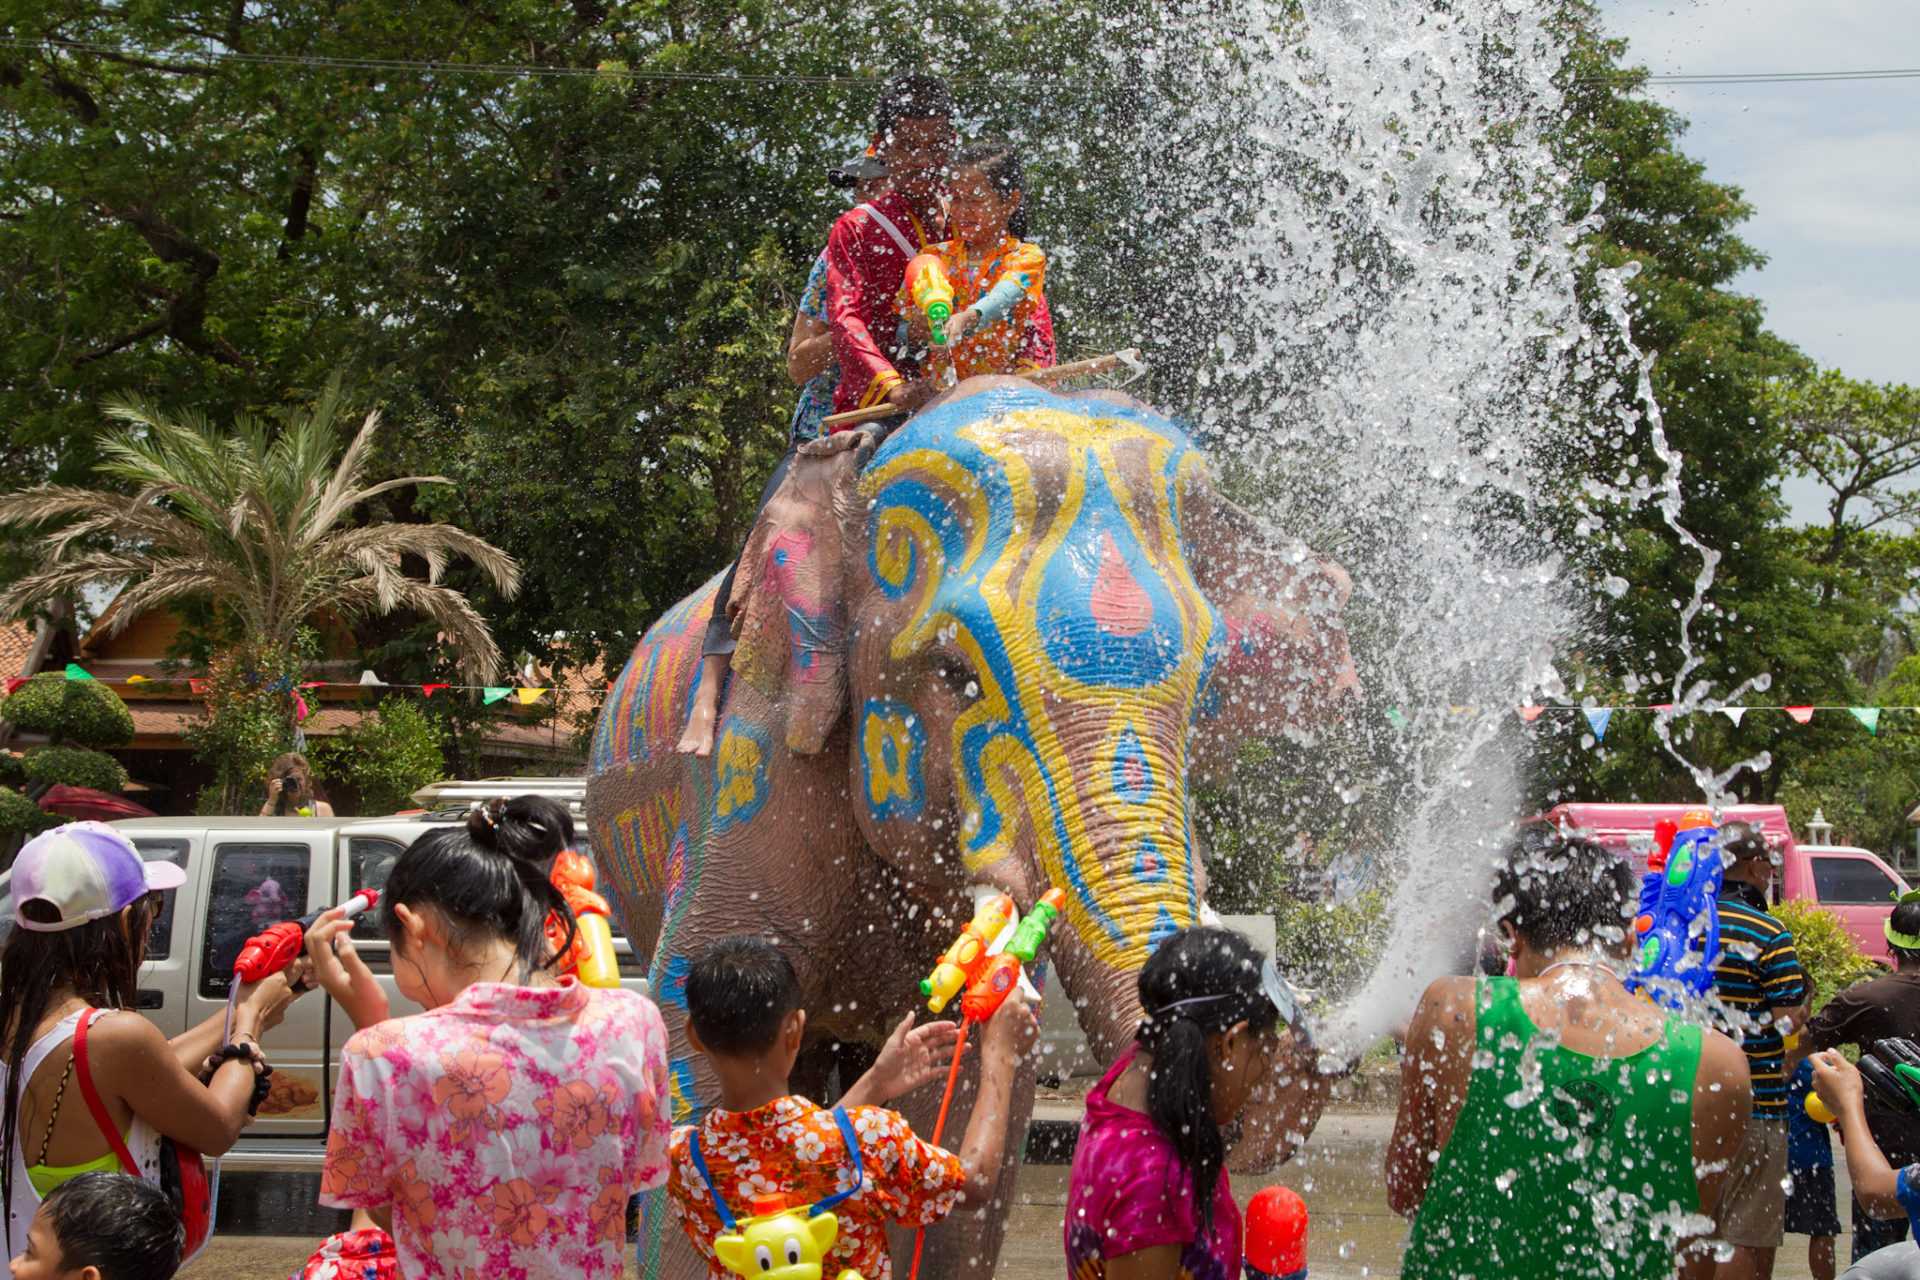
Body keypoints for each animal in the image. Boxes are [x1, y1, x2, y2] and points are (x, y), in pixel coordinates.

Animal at [591, 379, 1359, 1280]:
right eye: (955, 675)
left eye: (1206, 691)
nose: (1276, 1047)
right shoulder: (750, 767)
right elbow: (698, 1036)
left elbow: (954, 1133)